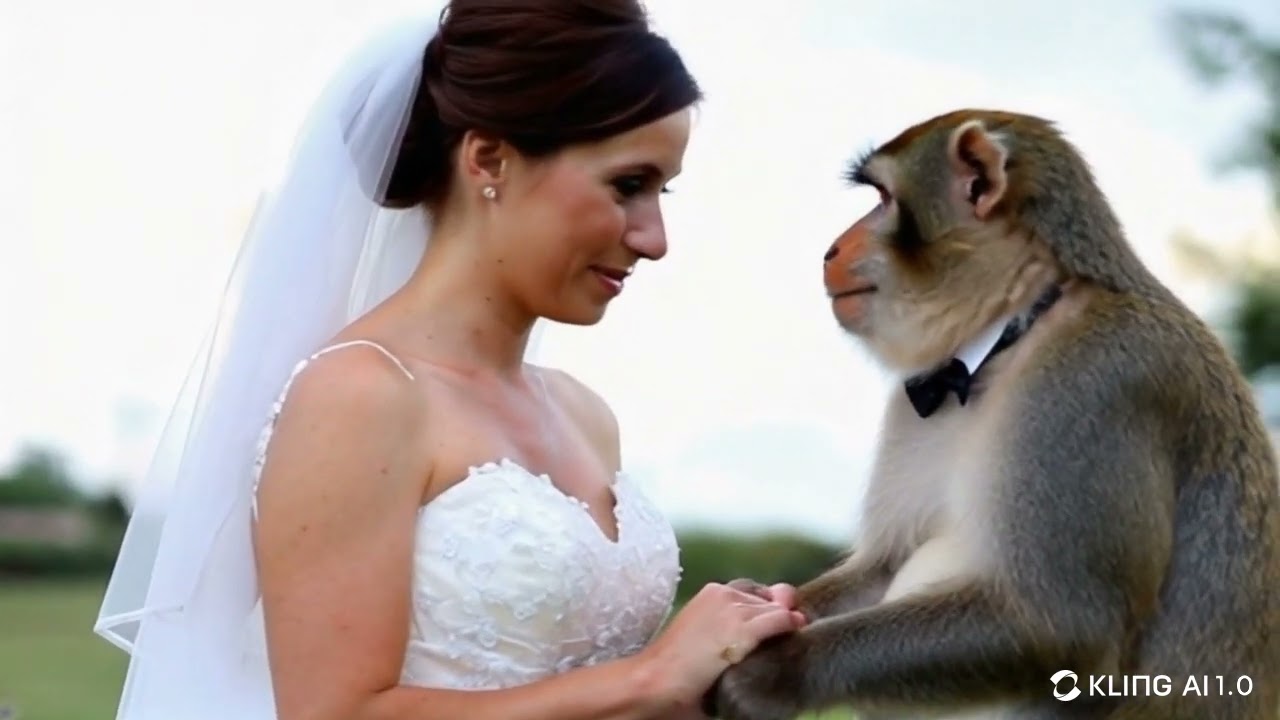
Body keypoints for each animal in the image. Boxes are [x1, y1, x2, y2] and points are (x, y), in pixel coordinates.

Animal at [704, 109, 1280, 720]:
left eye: (883, 198)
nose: (830, 250)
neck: (1012, 333)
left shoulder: (1098, 383)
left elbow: (1061, 627)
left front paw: (775, 671)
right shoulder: (920, 399)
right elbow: (883, 568)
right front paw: (753, 604)